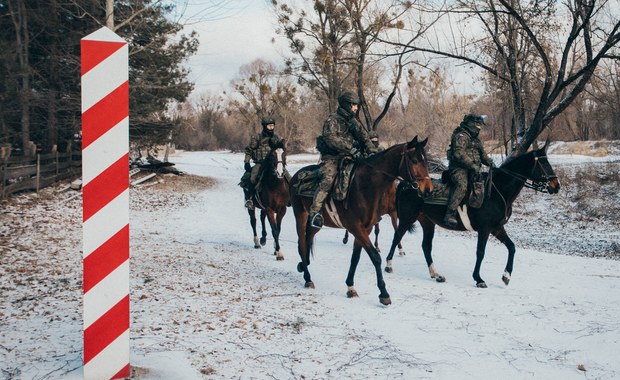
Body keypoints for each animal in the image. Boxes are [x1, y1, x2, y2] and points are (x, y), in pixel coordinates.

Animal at [290, 137, 432, 306]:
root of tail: (295, 176)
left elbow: (355, 258)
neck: (365, 186)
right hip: (300, 215)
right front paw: (384, 293)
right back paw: (307, 278)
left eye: (426, 160)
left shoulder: (366, 228)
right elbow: (375, 257)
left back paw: (303, 266)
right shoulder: (356, 227)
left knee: (307, 241)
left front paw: (350, 287)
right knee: (301, 244)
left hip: (316, 224)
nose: (428, 189)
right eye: (415, 160)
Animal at [386, 142, 560, 288]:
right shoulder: (485, 229)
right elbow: (480, 252)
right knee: (396, 237)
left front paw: (506, 276)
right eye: (544, 164)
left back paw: (436, 274)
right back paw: (388, 265)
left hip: (428, 222)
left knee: (426, 246)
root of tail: (407, 184)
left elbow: (511, 247)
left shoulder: (497, 228)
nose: (556, 186)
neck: (496, 191)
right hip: (408, 218)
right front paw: (479, 279)